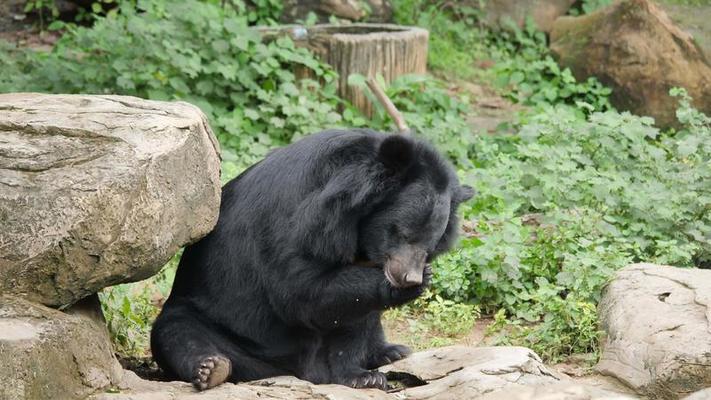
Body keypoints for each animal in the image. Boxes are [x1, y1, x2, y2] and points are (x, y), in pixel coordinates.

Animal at [152, 129, 472, 390]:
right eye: (403, 233)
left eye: (430, 245)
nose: (408, 277)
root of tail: (285, 368)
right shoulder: (299, 221)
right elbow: (301, 289)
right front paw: (365, 377)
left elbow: (354, 314)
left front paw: (361, 374)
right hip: (209, 317)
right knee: (178, 332)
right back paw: (212, 368)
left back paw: (390, 351)